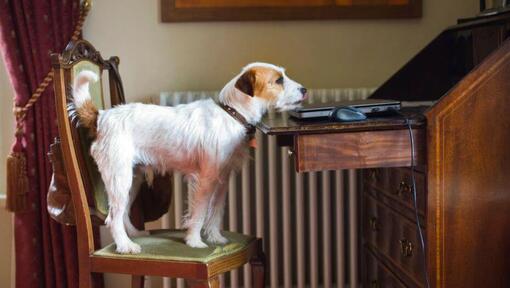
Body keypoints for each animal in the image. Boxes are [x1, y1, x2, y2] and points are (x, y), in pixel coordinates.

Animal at [72, 62, 306, 252]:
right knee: (113, 217)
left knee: (124, 213)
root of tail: (102, 117)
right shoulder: (205, 180)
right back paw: (125, 246)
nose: (304, 89)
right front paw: (194, 241)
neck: (231, 114)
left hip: (133, 179)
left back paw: (134, 235)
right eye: (278, 80)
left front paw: (215, 237)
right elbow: (200, 213)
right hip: (119, 179)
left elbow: (216, 211)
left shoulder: (222, 180)